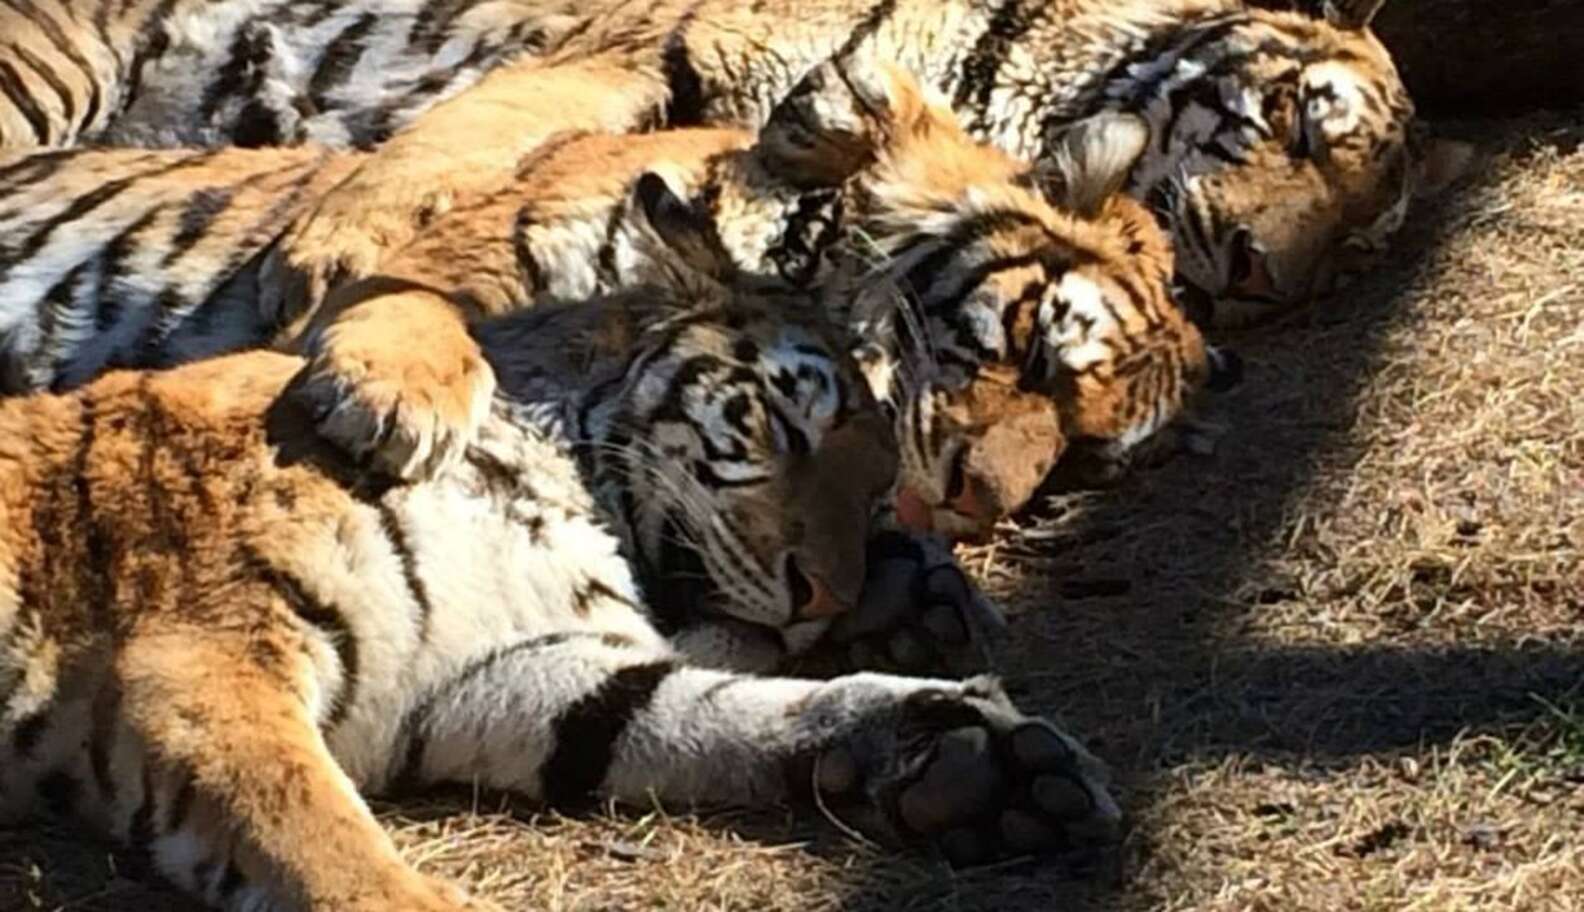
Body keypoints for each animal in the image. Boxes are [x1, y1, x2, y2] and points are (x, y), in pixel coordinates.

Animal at [0, 67, 1235, 547]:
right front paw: (394, 398)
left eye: (1081, 460)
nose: (978, 507)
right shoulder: (492, 235)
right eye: (1034, 352)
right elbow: (411, 300)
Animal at [0, 179, 1127, 912]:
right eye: (785, 428)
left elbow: (721, 712)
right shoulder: (207, 651)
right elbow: (325, 840)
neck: (579, 507)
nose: (825, 597)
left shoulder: (510, 675)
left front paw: (978, 761)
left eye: (879, 487)